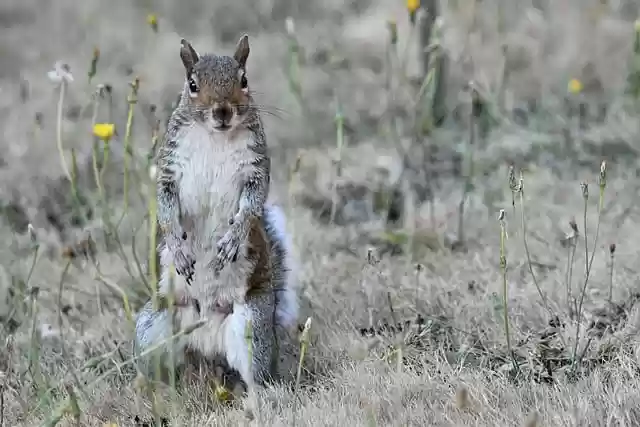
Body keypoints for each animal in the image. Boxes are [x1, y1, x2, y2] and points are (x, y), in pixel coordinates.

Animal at [133, 35, 300, 391]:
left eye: (244, 80)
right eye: (192, 84)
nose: (222, 111)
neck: (216, 137)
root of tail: (205, 339)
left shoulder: (256, 170)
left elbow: (251, 207)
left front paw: (232, 241)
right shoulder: (169, 171)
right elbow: (165, 207)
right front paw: (178, 249)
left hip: (252, 328)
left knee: (257, 374)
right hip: (151, 326)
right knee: (159, 368)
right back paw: (150, 386)